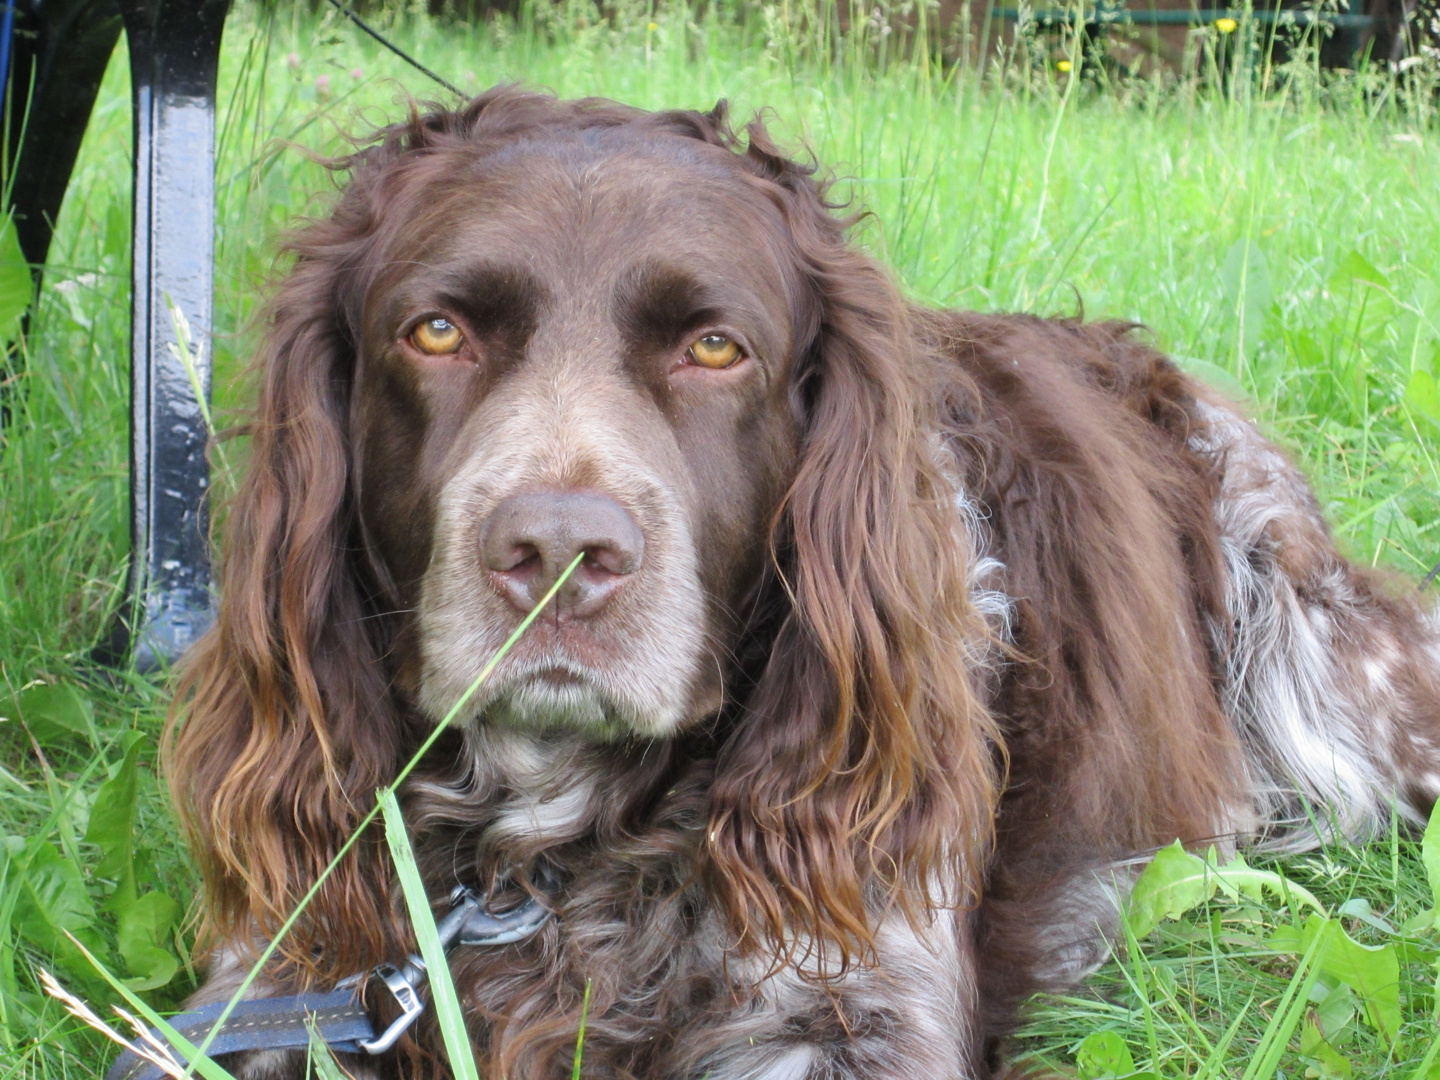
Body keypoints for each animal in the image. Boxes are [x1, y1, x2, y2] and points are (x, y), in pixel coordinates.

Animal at [168, 88, 1440, 1077]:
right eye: (436, 332)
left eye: (715, 348)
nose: (561, 554)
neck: (551, 851)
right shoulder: (283, 982)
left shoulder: (857, 999)